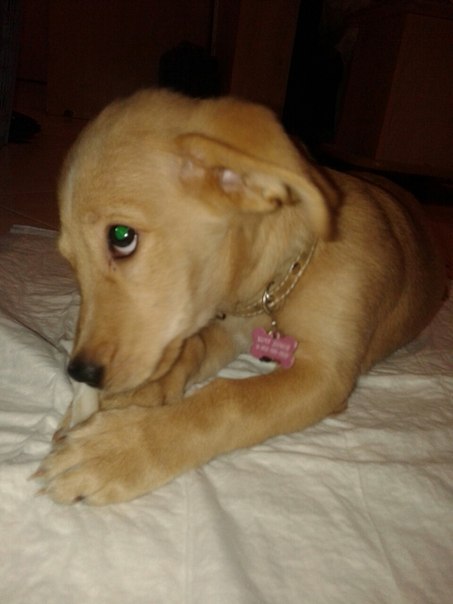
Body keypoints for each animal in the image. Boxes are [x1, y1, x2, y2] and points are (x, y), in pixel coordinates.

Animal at [34, 89, 445, 504]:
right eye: (69, 259)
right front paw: (136, 397)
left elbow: (229, 401)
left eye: (121, 236)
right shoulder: (224, 330)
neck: (271, 287)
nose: (80, 373)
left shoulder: (326, 374)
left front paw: (120, 449)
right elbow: (191, 350)